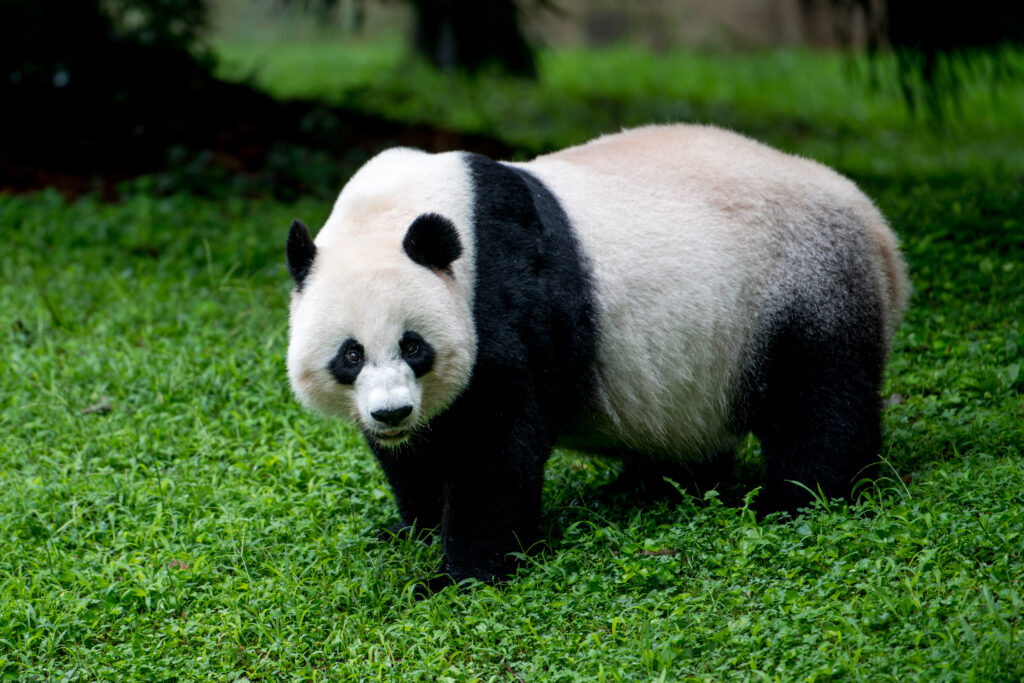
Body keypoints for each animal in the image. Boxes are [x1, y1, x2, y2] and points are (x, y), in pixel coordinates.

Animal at [286, 124, 909, 589]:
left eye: (414, 346)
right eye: (350, 355)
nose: (392, 413)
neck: (395, 211)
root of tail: (878, 230)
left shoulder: (503, 292)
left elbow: (495, 440)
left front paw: (456, 577)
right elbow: (421, 450)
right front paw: (411, 524)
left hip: (799, 287)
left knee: (820, 403)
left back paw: (793, 499)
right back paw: (650, 484)